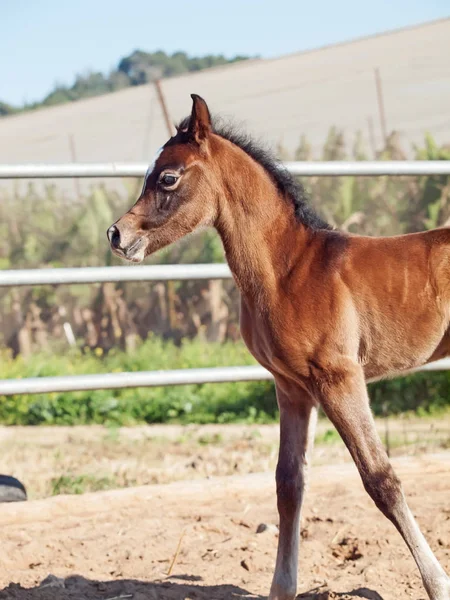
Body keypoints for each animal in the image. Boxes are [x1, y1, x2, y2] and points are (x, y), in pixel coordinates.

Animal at [109, 95, 450, 600]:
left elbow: (381, 479)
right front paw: (281, 587)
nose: (117, 234)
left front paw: (437, 583)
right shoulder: (291, 388)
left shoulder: (339, 379)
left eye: (167, 177)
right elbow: (289, 485)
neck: (287, 269)